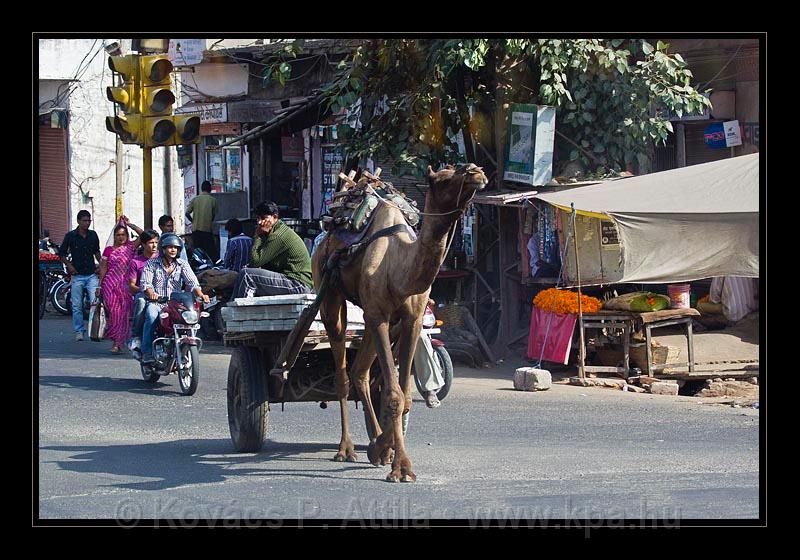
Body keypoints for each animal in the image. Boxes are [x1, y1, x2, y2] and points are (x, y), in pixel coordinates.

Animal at [310, 162, 488, 482]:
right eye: (442, 178)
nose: (476, 171)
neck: (399, 268)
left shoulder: (410, 320)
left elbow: (403, 395)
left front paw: (384, 450)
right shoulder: (379, 315)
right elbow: (393, 395)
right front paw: (401, 467)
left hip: (372, 317)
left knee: (360, 371)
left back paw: (374, 442)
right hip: (330, 293)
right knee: (343, 373)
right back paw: (346, 448)